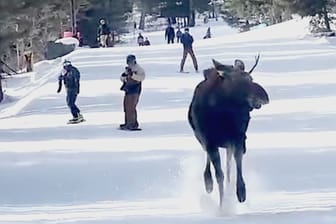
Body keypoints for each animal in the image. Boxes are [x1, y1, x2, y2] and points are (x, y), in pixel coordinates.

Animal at [188, 55, 270, 206]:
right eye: (241, 81)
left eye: (251, 78)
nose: (265, 97)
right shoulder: (209, 141)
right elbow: (219, 175)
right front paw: (222, 205)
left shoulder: (238, 138)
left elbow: (236, 164)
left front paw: (240, 192)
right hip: (204, 141)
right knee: (210, 164)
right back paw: (208, 183)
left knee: (228, 166)